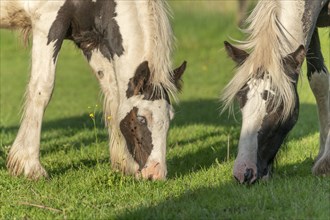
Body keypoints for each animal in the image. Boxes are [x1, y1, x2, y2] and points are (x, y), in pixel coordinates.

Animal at [0, 0, 186, 180]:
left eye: (170, 117)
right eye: (141, 119)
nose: (156, 173)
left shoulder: (90, 41)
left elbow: (113, 93)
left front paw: (124, 164)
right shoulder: (47, 23)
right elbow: (42, 88)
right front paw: (30, 166)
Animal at [222, 0, 330, 184]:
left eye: (278, 107)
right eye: (241, 101)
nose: (243, 172)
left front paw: (326, 163)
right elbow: (319, 81)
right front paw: (322, 155)